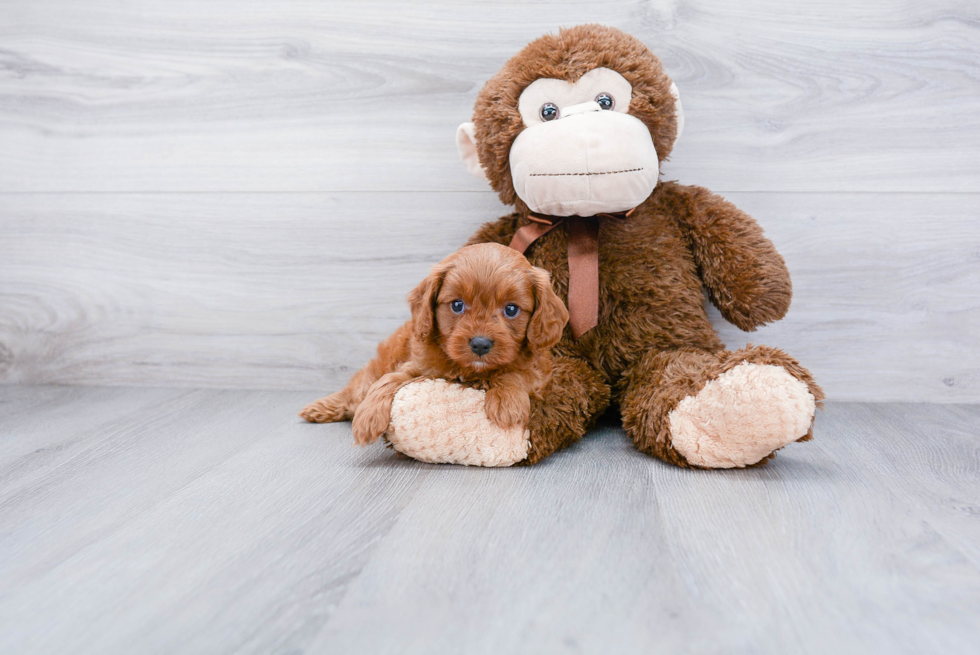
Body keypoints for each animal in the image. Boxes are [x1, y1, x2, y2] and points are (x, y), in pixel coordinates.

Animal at [298, 243, 568, 448]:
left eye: (511, 309)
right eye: (457, 305)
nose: (480, 344)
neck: (470, 370)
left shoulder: (540, 374)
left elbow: (515, 372)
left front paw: (507, 401)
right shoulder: (417, 367)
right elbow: (388, 380)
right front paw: (369, 417)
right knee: (355, 391)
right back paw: (319, 408)